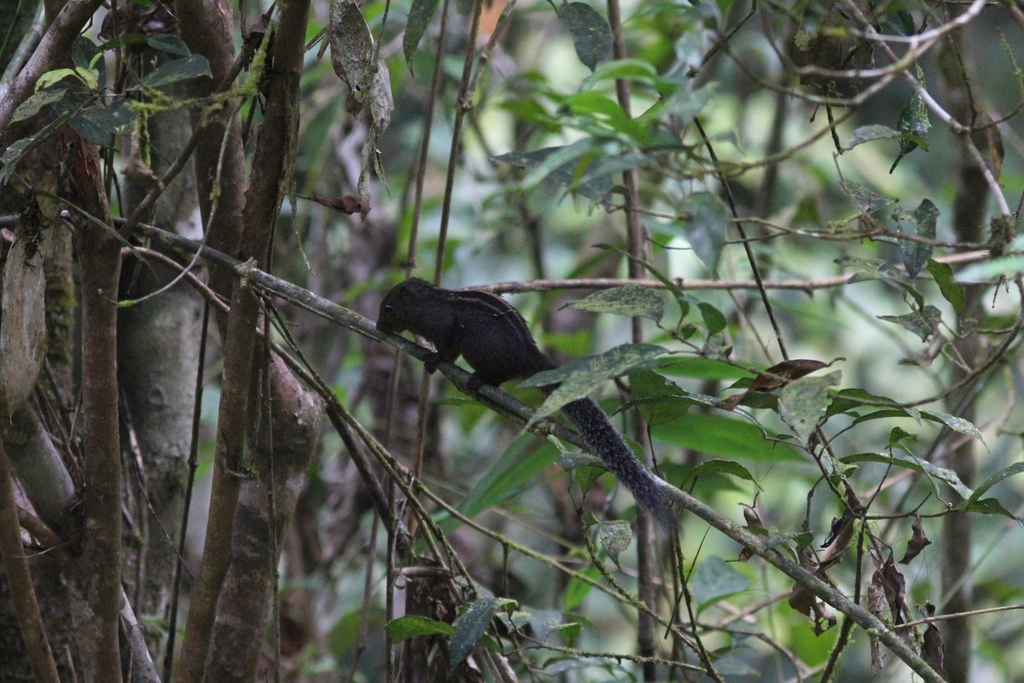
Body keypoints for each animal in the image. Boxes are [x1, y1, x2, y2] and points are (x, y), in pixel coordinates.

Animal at [376, 277, 677, 529]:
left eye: (388, 308)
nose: (378, 327)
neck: (428, 304)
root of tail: (529, 355)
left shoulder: (444, 327)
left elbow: (447, 351)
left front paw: (435, 359)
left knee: (497, 375)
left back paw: (477, 380)